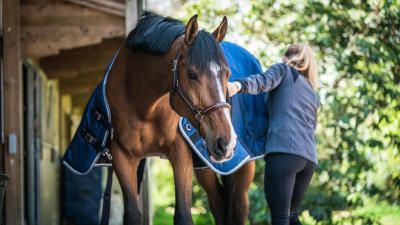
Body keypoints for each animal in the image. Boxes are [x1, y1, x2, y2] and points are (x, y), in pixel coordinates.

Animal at [106, 12, 238, 225]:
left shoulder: (180, 152)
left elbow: (183, 215)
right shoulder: (122, 155)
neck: (144, 109)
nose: (227, 143)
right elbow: (132, 214)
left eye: (227, 74)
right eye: (191, 74)